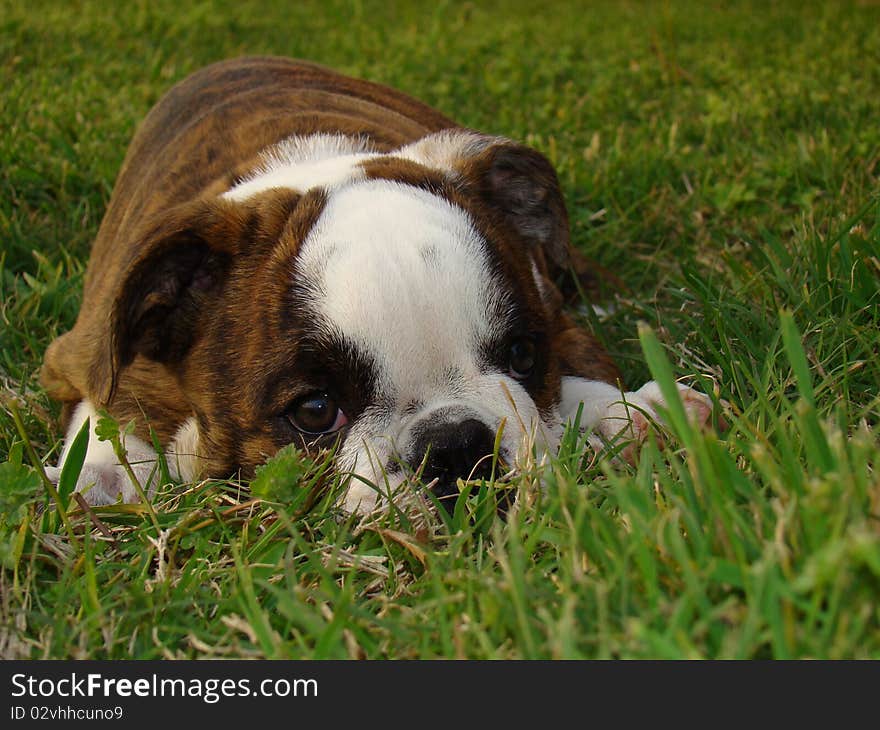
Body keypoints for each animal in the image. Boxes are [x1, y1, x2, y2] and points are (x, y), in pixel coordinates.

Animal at [39, 57, 716, 512]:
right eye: (314, 412)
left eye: (524, 355)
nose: (456, 447)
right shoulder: (79, 354)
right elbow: (106, 408)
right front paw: (105, 473)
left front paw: (620, 413)